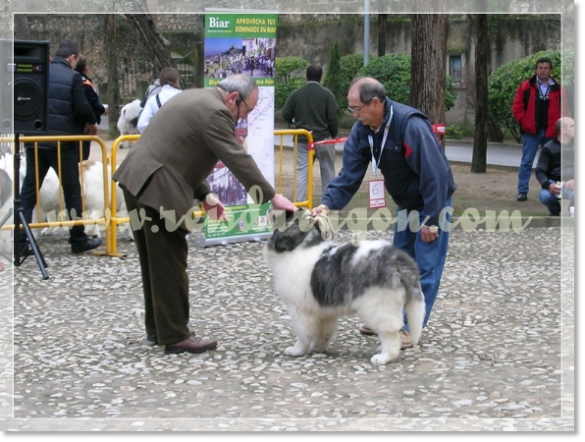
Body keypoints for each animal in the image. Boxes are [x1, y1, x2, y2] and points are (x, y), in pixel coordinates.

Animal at [264, 209, 424, 364]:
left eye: (286, 214)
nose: (270, 209)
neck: (300, 246)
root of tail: (397, 259)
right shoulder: (325, 311)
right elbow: (325, 332)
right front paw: (318, 348)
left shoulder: (300, 310)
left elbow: (303, 333)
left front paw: (296, 350)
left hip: (379, 306)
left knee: (390, 332)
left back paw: (384, 357)